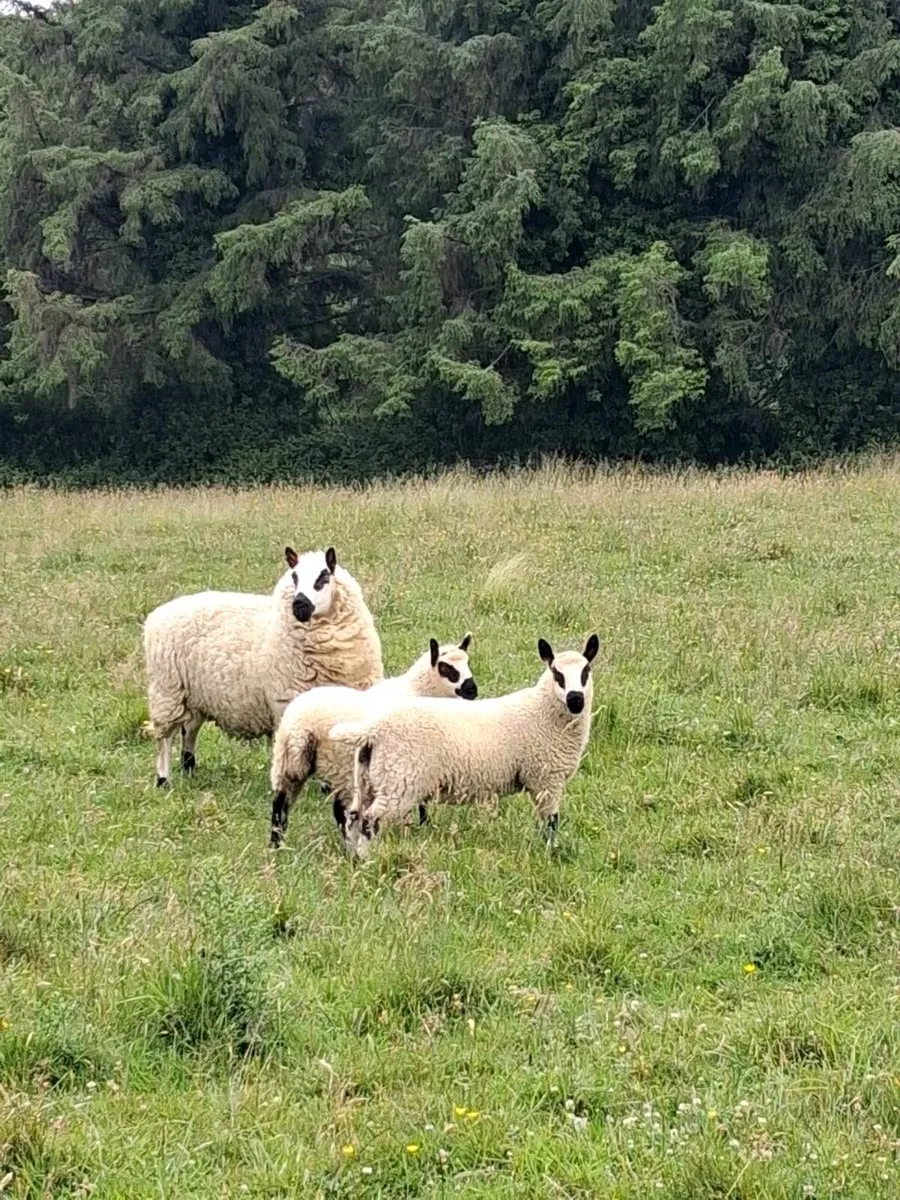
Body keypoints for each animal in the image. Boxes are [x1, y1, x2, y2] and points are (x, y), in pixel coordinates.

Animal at [144, 546, 383, 786]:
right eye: (294, 577)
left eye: (324, 576)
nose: (299, 605)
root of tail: (156, 615)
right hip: (167, 691)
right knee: (165, 739)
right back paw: (164, 780)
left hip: (195, 695)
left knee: (189, 729)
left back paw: (189, 768)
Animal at [268, 634, 476, 848]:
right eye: (446, 668)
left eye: (468, 662)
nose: (472, 690)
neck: (417, 690)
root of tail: (300, 727)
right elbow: (420, 801)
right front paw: (420, 826)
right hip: (340, 766)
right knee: (340, 810)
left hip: (287, 762)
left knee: (280, 804)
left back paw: (277, 846)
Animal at [330, 634, 599, 858]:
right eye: (557, 673)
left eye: (586, 671)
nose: (576, 699)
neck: (542, 711)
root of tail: (374, 729)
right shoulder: (546, 779)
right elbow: (551, 823)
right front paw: (551, 852)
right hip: (400, 782)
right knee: (370, 819)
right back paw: (366, 859)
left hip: (369, 779)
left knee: (353, 816)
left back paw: (352, 855)